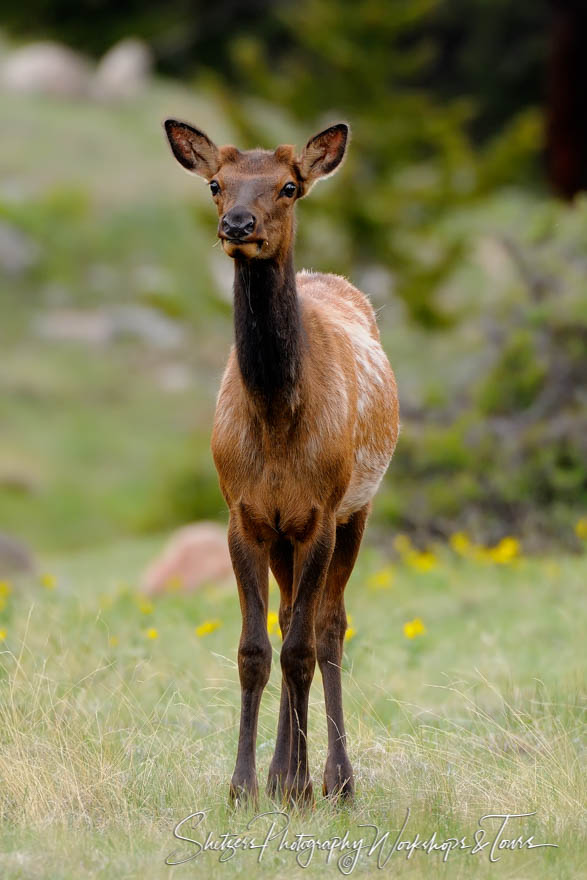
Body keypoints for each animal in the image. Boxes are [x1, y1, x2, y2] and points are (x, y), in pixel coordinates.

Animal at [164, 118, 400, 804]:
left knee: (327, 629)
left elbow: (299, 649)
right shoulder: (244, 516)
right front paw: (246, 784)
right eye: (216, 183)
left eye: (289, 186)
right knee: (294, 613)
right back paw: (288, 772)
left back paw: (334, 781)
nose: (238, 224)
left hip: (356, 510)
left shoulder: (320, 512)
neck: (273, 423)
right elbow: (253, 650)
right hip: (282, 535)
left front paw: (293, 784)